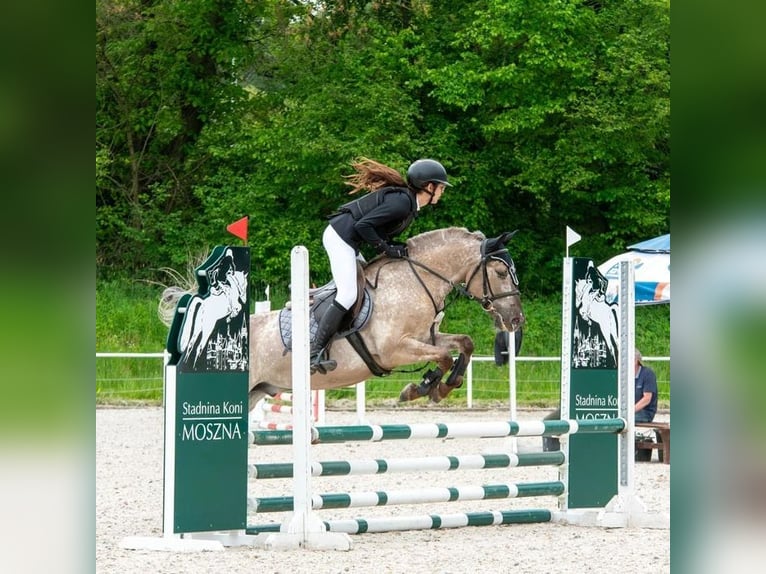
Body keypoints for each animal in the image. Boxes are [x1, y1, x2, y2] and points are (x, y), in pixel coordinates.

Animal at [160, 227, 524, 408]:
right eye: (500, 273)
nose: (516, 320)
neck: (415, 280)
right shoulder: (394, 349)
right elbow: (444, 357)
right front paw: (424, 388)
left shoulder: (425, 338)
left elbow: (464, 344)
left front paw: (439, 387)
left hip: (255, 393)